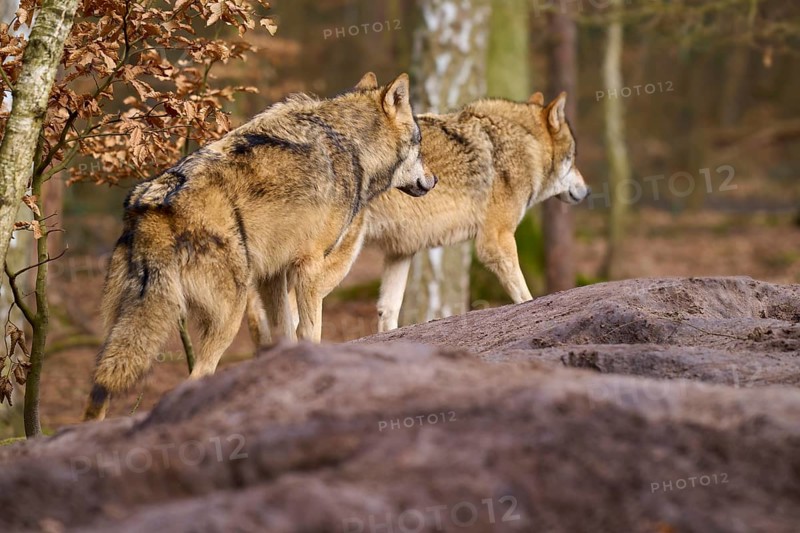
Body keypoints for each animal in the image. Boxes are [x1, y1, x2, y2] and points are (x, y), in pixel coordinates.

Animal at [84, 72, 435, 420]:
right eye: (419, 144)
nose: (433, 180)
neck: (352, 145)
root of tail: (153, 205)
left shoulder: (272, 274)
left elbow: (284, 334)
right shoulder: (308, 267)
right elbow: (310, 332)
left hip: (120, 330)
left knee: (100, 388)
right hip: (229, 315)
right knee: (197, 375)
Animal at [250, 86, 589, 341]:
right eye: (573, 159)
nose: (586, 191)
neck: (521, 143)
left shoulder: (401, 252)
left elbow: (388, 311)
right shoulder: (496, 240)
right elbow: (524, 295)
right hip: (330, 262)